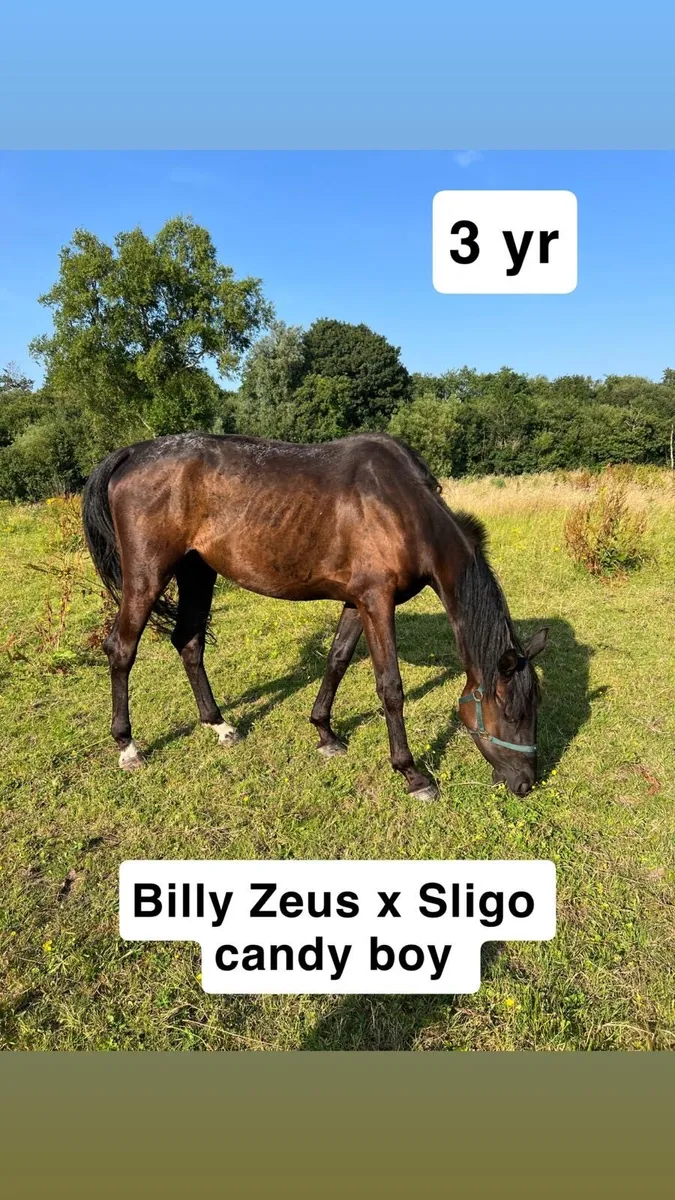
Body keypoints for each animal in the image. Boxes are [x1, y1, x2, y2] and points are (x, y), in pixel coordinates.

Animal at [82, 431, 548, 799]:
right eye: (511, 713)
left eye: (535, 705)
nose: (526, 783)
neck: (402, 507)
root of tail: (133, 452)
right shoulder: (377, 602)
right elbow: (390, 688)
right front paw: (412, 774)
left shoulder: (358, 602)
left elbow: (336, 661)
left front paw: (325, 733)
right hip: (147, 576)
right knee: (121, 649)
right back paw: (127, 746)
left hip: (197, 571)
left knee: (189, 643)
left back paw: (219, 726)